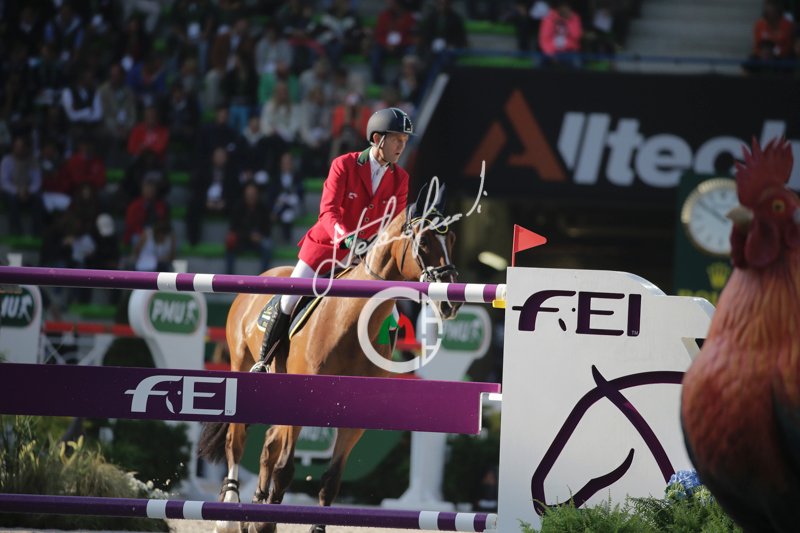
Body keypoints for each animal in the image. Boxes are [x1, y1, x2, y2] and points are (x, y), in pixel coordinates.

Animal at [198, 193, 461, 533]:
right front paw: (267, 522)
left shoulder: (353, 420)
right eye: (425, 240)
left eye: (451, 239)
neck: (349, 323)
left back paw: (253, 510)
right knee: (237, 439)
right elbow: (285, 470)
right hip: (241, 366)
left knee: (268, 445)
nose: (450, 302)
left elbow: (331, 480)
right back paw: (230, 511)